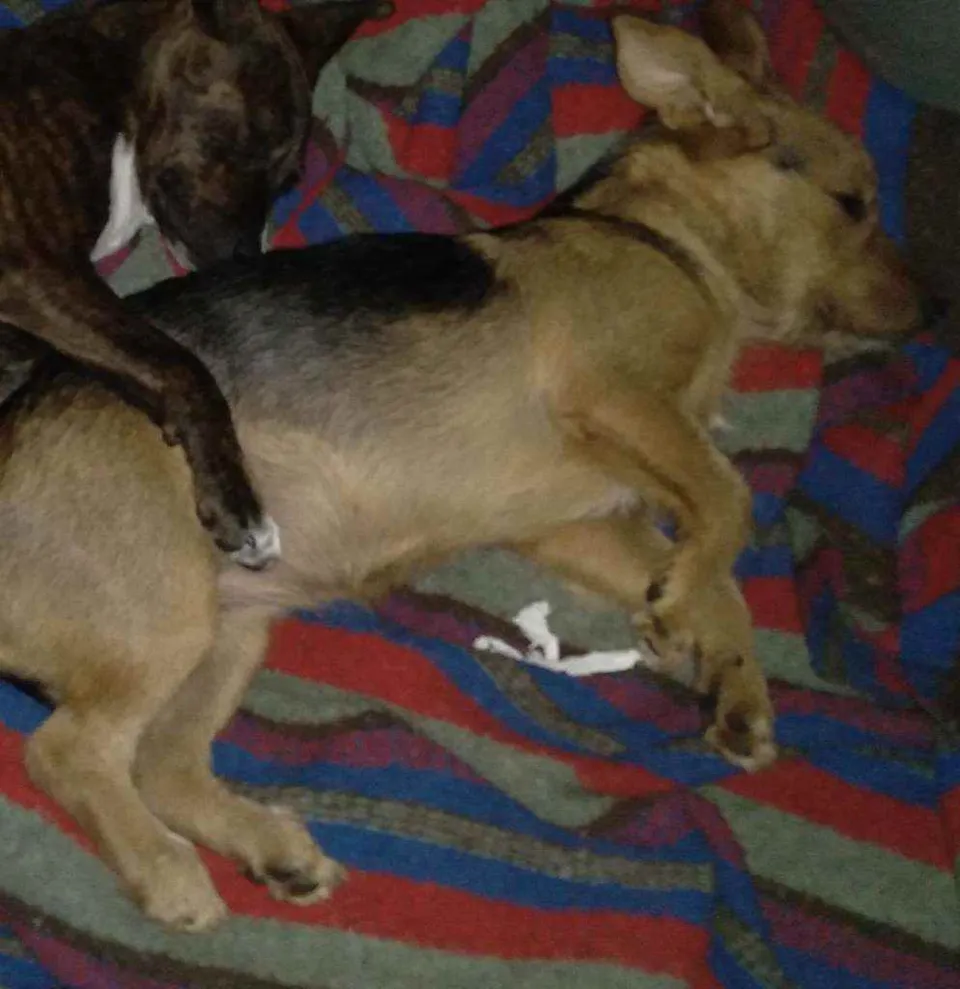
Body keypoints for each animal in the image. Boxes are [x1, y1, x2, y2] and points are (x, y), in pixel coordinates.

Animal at [0, 0, 388, 565]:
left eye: (288, 182)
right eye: (240, 143)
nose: (248, 257)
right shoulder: (33, 271)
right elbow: (181, 365)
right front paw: (235, 500)